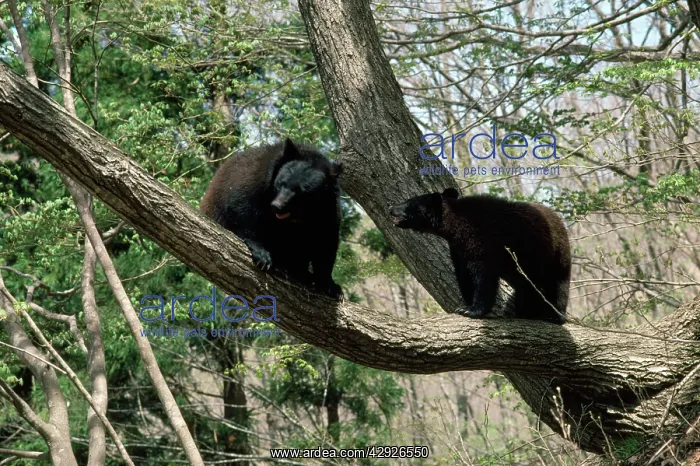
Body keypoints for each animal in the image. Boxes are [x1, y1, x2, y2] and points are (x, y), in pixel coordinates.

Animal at [200, 138, 343, 298]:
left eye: (302, 191)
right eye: (281, 183)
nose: (277, 206)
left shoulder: (327, 211)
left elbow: (325, 242)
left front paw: (331, 285)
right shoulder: (257, 182)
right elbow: (242, 207)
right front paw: (262, 255)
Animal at [389, 188, 571, 324]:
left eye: (408, 202)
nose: (391, 208)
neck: (455, 226)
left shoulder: (483, 239)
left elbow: (483, 275)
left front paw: (472, 310)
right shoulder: (458, 248)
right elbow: (463, 274)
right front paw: (466, 304)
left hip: (554, 255)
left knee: (558, 284)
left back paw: (554, 314)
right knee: (525, 285)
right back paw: (523, 311)